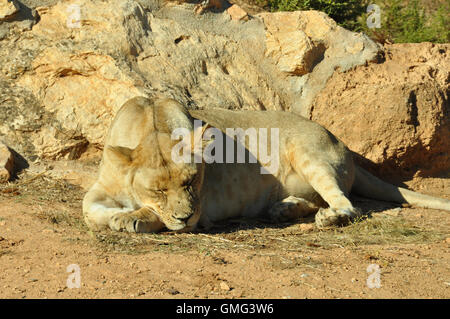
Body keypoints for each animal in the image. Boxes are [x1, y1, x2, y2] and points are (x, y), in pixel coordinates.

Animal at [82, 96, 448, 234]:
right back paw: (283, 209)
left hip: (309, 152)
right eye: (158, 189)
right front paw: (116, 215)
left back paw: (328, 218)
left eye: (191, 182)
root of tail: (343, 145)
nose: (185, 216)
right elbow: (89, 208)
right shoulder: (100, 188)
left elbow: (157, 216)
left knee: (348, 205)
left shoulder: (200, 210)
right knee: (317, 199)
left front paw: (130, 218)